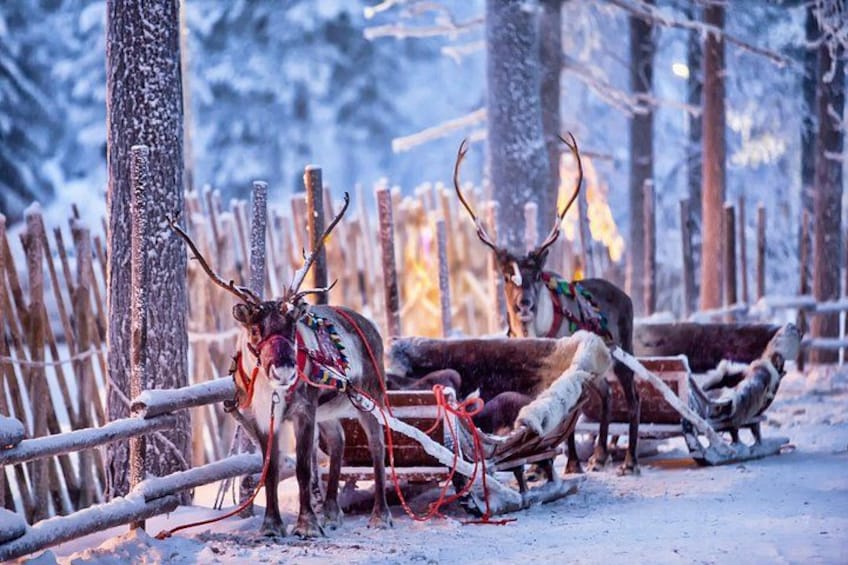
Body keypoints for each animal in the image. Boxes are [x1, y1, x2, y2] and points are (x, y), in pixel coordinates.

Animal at [167, 192, 393, 538]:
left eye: (291, 327)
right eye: (255, 329)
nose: (284, 371)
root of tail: (370, 325)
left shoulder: (304, 410)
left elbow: (301, 468)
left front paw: (307, 524)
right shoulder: (260, 417)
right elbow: (270, 470)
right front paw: (271, 525)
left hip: (369, 397)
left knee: (377, 446)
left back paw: (380, 515)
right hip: (329, 409)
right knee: (339, 441)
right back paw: (332, 512)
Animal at [453, 134, 641, 475]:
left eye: (537, 274)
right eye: (505, 275)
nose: (524, 304)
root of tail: (624, 294)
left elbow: (566, 419)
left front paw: (570, 465)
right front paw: (541, 467)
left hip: (624, 353)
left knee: (633, 398)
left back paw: (629, 460)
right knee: (607, 395)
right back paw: (599, 455)